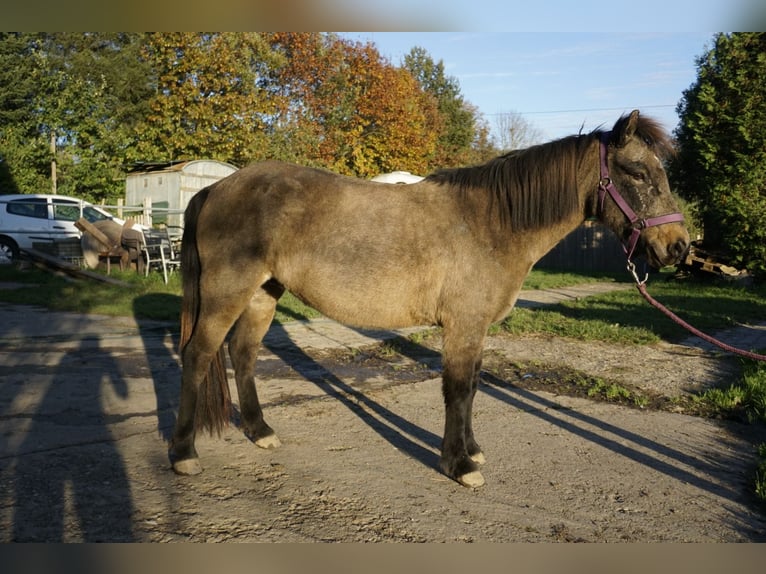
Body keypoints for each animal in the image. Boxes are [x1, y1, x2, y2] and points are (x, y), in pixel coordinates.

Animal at [168, 110, 688, 488]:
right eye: (637, 172)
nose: (678, 247)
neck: (490, 221)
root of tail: (214, 188)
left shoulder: (473, 328)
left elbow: (473, 385)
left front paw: (471, 450)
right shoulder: (463, 325)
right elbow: (457, 389)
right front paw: (459, 466)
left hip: (264, 292)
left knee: (243, 354)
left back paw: (261, 432)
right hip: (227, 291)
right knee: (198, 355)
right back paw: (183, 453)